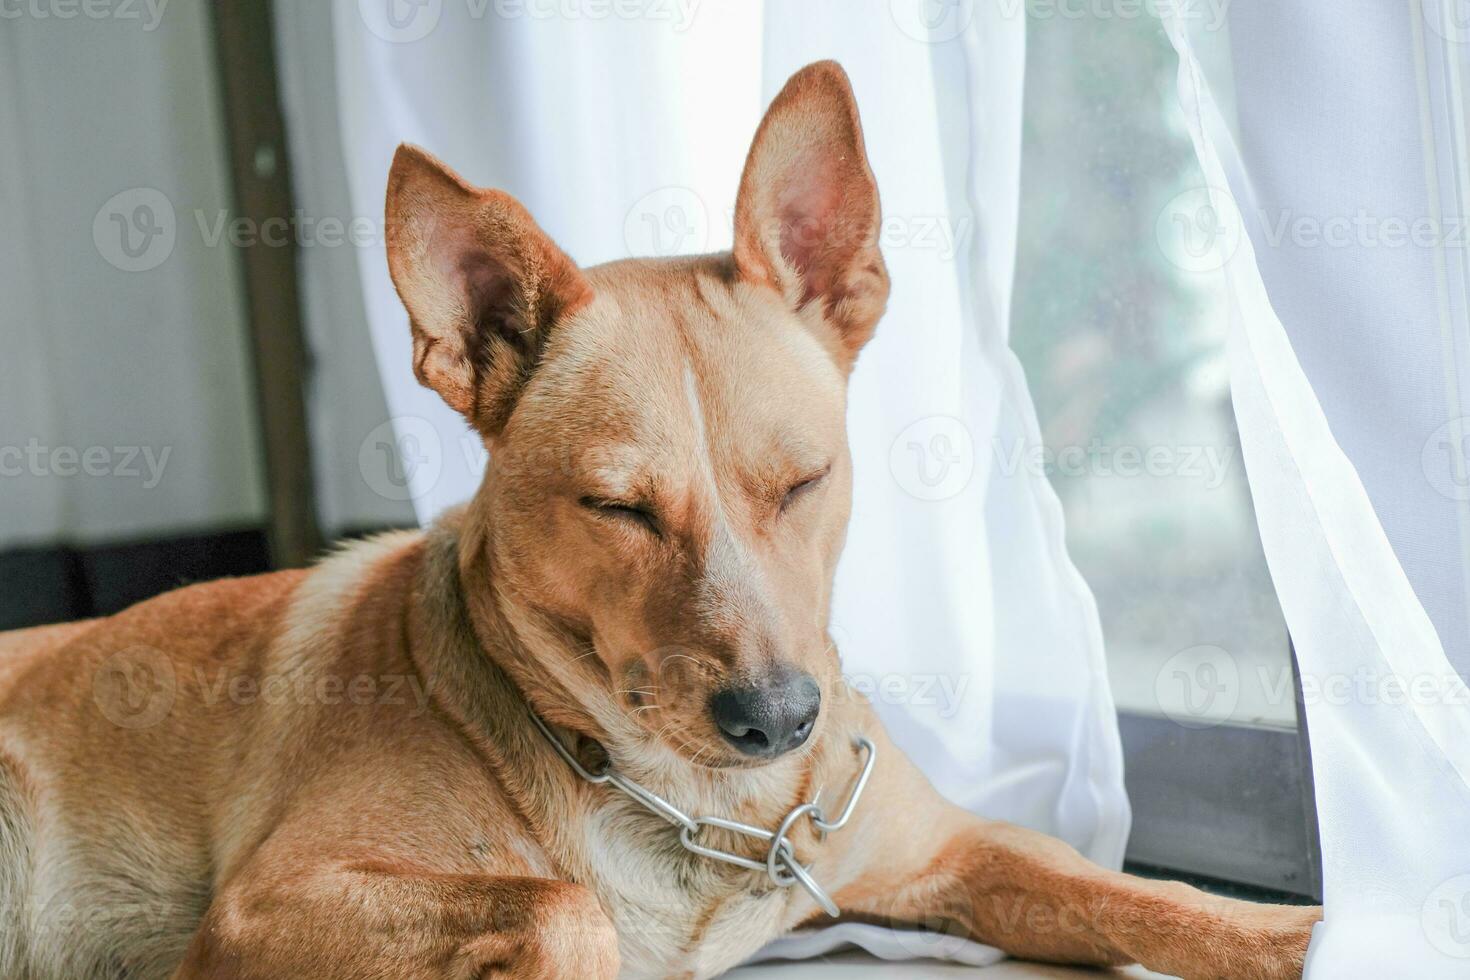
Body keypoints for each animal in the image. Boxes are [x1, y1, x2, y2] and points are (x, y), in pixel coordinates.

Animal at [0, 63, 1323, 980]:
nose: (779, 718)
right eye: (618, 507)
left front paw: (1316, 924)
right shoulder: (266, 905)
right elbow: (560, 906)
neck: (701, 807)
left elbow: (1167, 901)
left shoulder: (956, 846)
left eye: (802, 481)